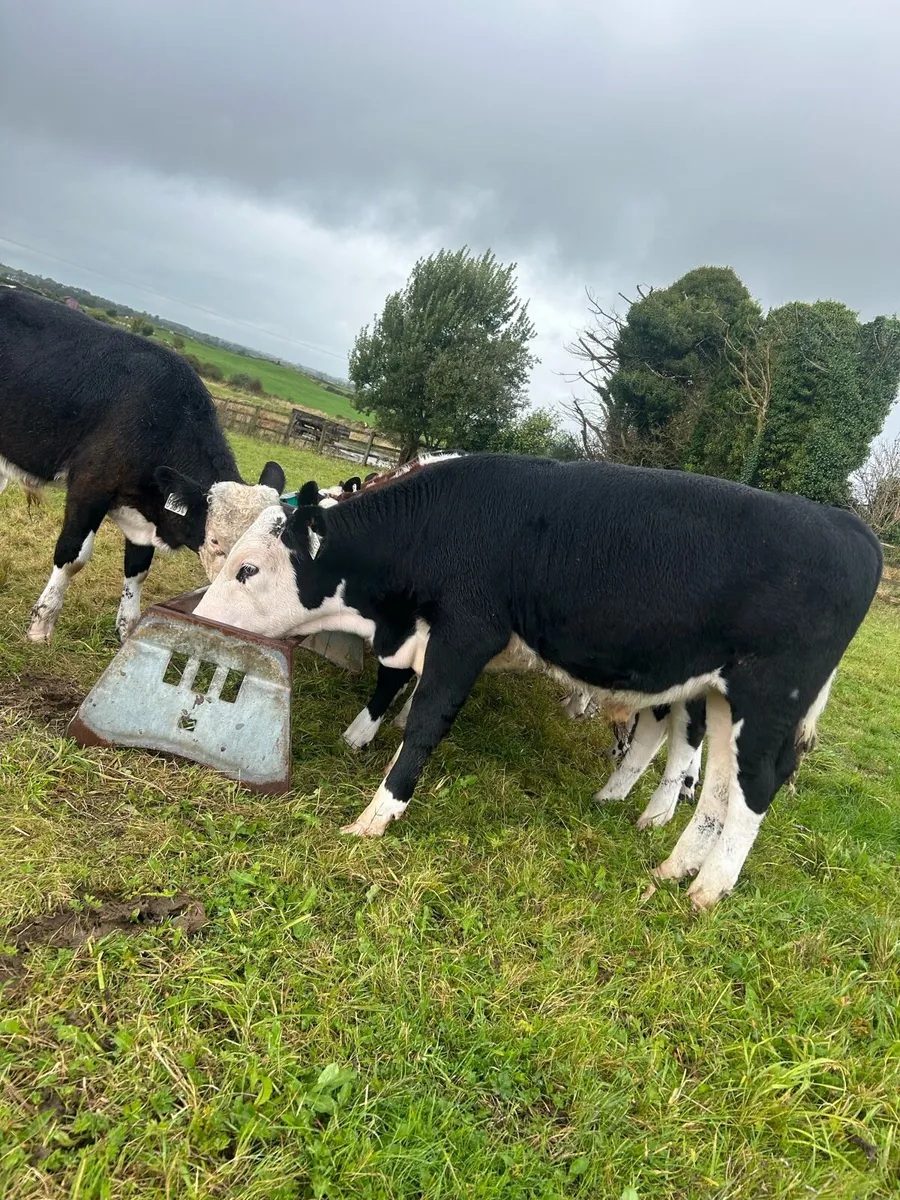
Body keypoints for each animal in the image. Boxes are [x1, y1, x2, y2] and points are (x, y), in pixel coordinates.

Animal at [0, 287, 285, 641]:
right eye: (216, 542)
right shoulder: (89, 486)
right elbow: (72, 557)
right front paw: (41, 626)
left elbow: (137, 570)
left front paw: (128, 629)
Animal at [192, 453, 881, 908]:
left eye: (248, 569)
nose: (197, 617)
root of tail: (853, 528)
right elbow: (391, 685)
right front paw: (359, 739)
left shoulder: (467, 633)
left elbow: (425, 721)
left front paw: (376, 816)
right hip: (716, 694)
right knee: (715, 786)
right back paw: (673, 866)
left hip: (766, 701)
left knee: (754, 788)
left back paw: (707, 889)